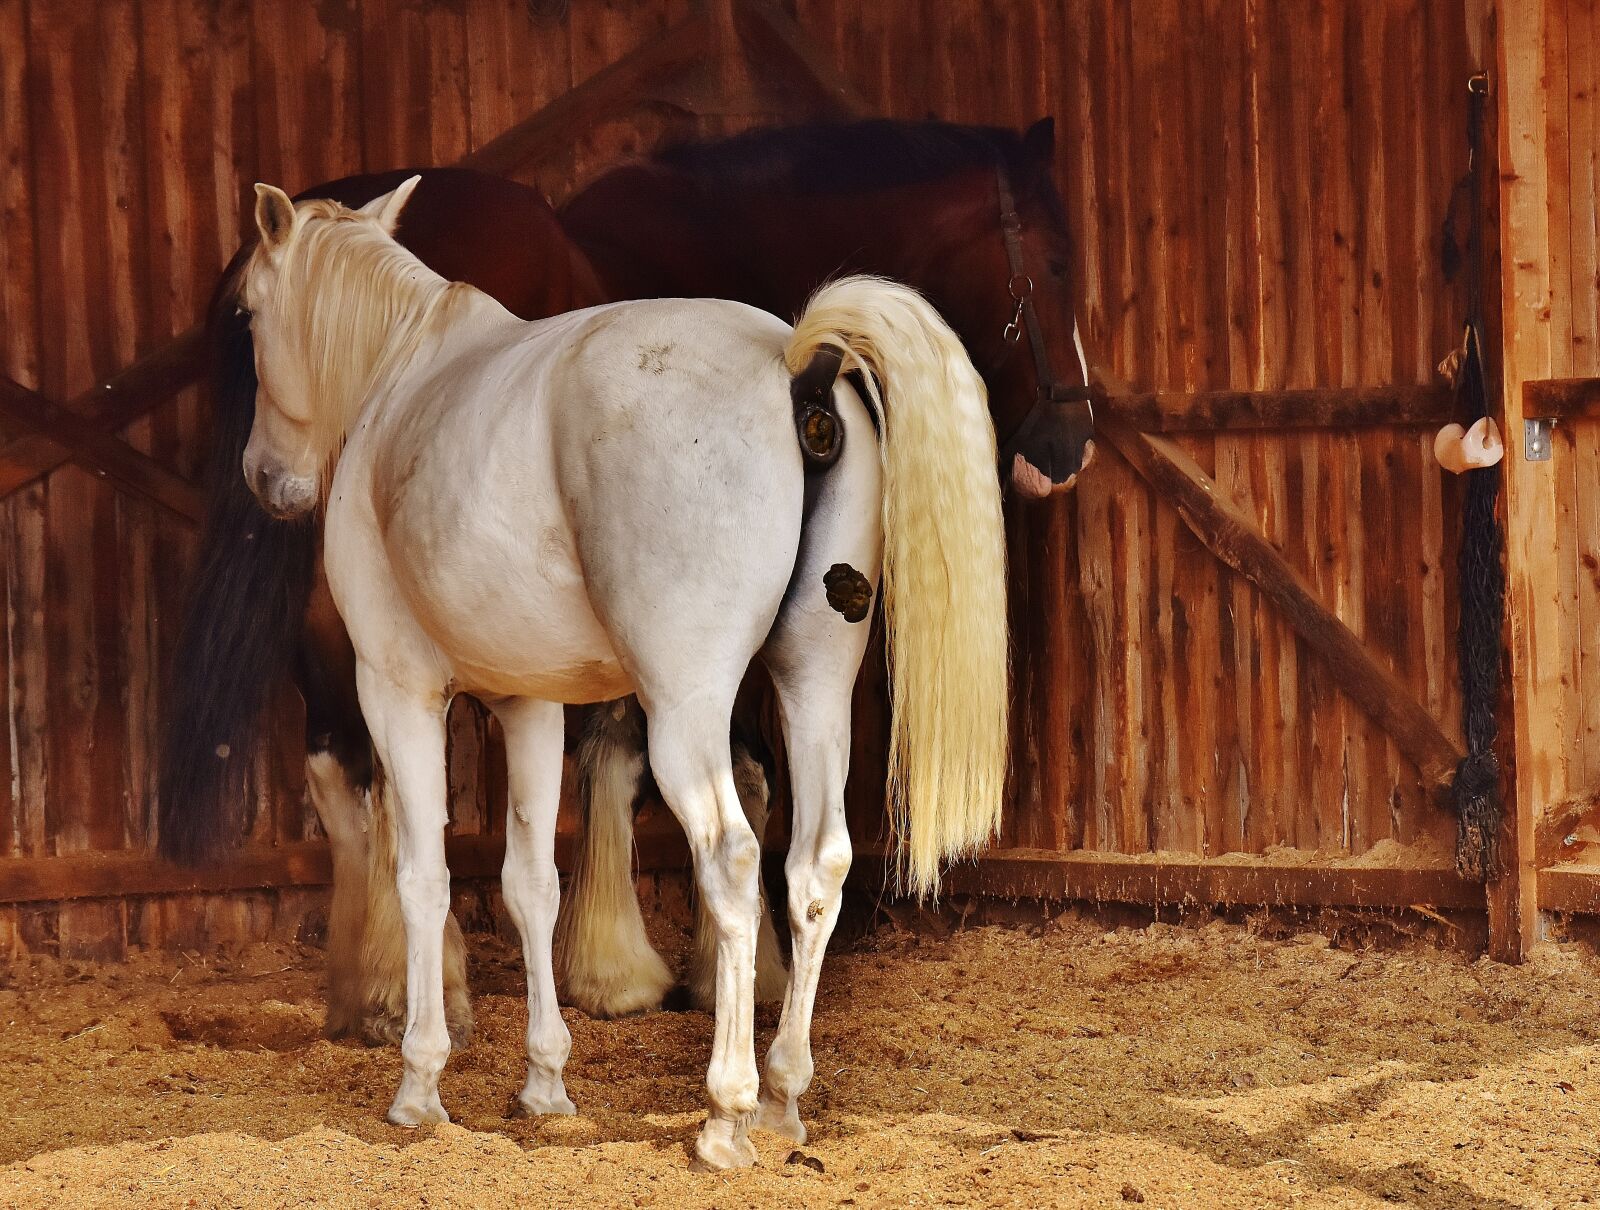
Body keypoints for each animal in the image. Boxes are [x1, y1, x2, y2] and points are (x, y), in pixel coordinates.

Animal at [157, 118, 1090, 1039]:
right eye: (1056, 267)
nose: (1068, 452)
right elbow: (700, 772)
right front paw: (669, 971)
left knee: (346, 764)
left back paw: (375, 986)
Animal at [236, 176, 1007, 1167]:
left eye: (250, 313)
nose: (267, 478)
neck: (402, 374)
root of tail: (794, 361)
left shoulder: (396, 690)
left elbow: (423, 878)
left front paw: (420, 1084)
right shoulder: (529, 705)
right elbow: (531, 884)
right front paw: (545, 1081)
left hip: (685, 711)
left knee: (731, 859)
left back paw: (726, 1113)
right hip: (813, 689)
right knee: (815, 866)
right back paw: (782, 1097)